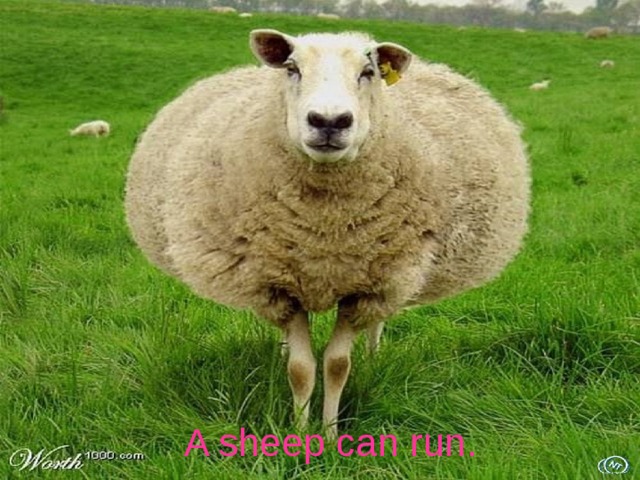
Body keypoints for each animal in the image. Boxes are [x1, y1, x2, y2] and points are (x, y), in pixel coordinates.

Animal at [125, 29, 530, 438]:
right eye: (292, 68)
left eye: (368, 72)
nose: (329, 121)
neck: (325, 228)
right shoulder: (280, 288)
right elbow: (301, 369)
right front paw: (300, 432)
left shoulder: (366, 289)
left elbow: (337, 365)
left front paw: (331, 432)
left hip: (393, 275)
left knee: (376, 326)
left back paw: (373, 357)